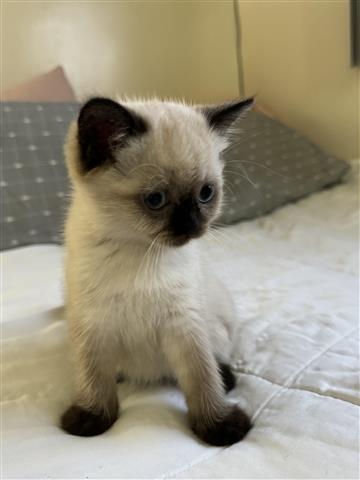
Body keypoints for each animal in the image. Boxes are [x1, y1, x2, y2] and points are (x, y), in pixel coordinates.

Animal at [61, 96, 253, 446]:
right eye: (156, 199)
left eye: (206, 193)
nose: (192, 226)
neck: (140, 254)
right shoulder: (92, 323)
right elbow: (93, 375)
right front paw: (91, 418)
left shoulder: (185, 324)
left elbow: (201, 377)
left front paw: (218, 425)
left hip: (217, 326)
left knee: (215, 362)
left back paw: (226, 377)